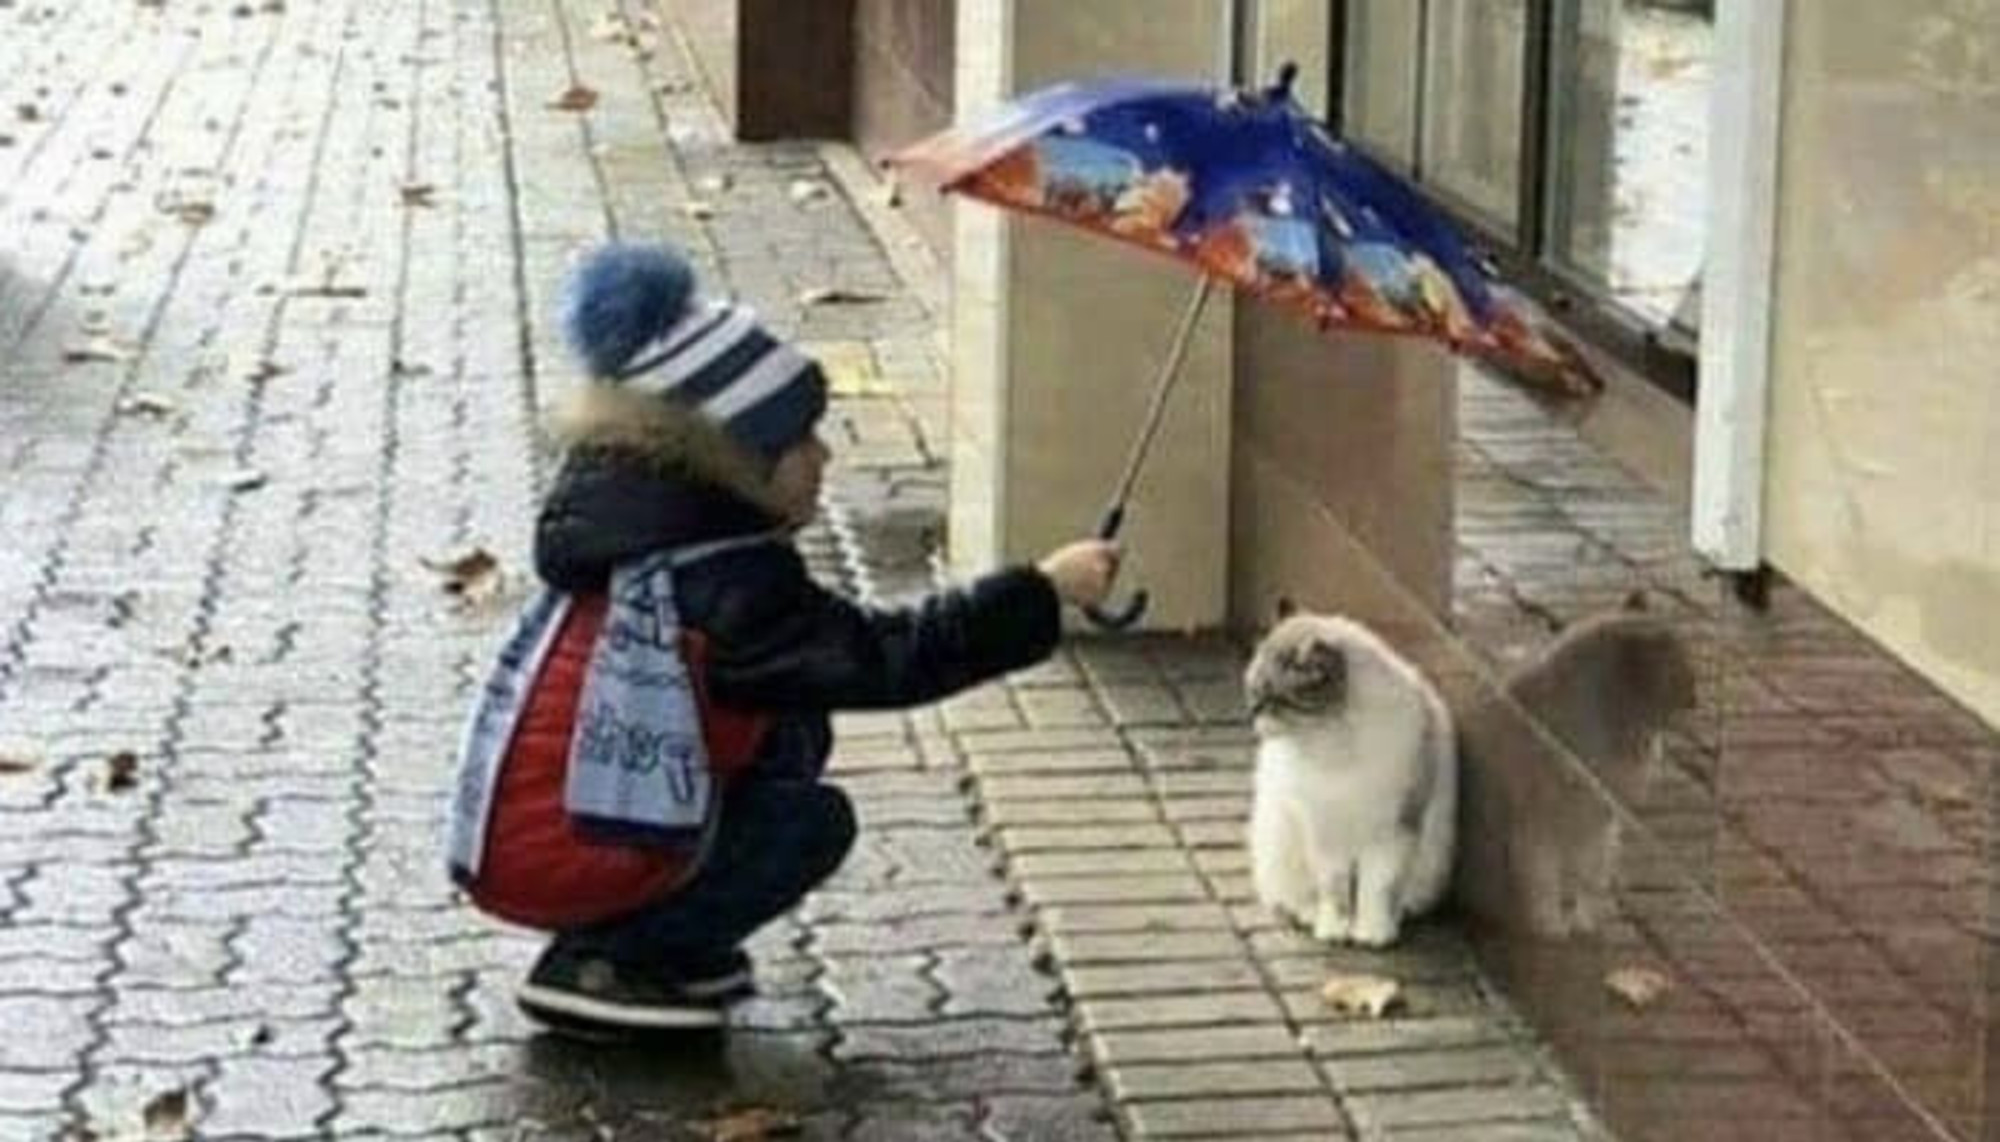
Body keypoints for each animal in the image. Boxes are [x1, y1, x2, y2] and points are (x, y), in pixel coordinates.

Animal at [1248, 608, 1456, 948]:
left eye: (1272, 699)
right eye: (1252, 693)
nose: (1251, 713)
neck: (1334, 744)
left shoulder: (1391, 831)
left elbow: (1376, 887)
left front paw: (1373, 932)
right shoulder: (1324, 832)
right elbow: (1334, 891)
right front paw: (1334, 930)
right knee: (1293, 896)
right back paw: (1310, 915)